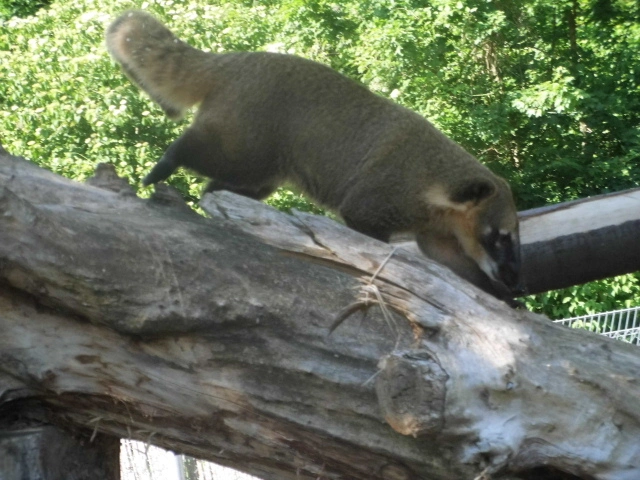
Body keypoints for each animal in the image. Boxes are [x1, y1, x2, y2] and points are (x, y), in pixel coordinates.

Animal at [106, 10, 522, 302]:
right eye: (499, 238)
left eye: (512, 237)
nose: (516, 284)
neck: (440, 181)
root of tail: (233, 61)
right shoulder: (388, 191)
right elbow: (363, 225)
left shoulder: (436, 226)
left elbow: (448, 259)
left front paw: (492, 291)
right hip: (247, 134)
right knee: (213, 152)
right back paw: (172, 158)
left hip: (263, 168)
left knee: (238, 186)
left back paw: (218, 198)